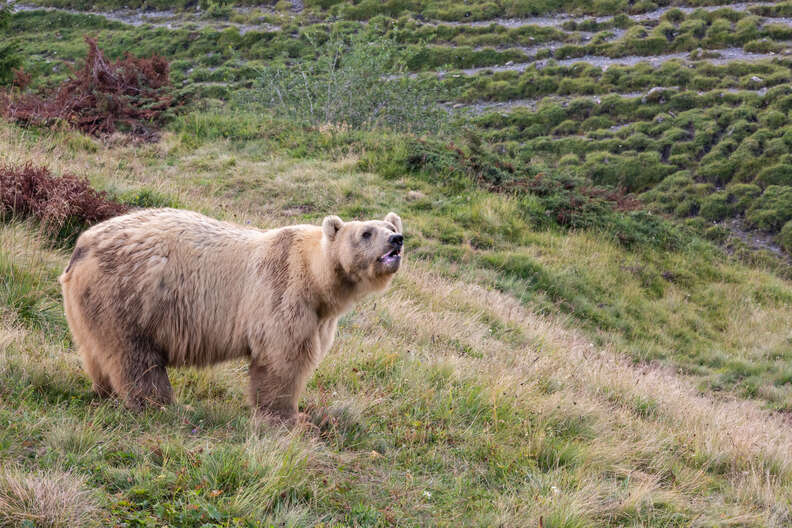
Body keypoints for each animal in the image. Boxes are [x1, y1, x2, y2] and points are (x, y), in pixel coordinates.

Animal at [58, 208, 402, 422]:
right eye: (367, 232)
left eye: (392, 227)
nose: (396, 241)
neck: (317, 279)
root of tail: (80, 248)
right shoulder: (282, 292)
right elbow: (283, 359)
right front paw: (290, 417)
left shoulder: (321, 317)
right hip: (131, 297)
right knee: (136, 359)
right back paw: (166, 406)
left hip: (90, 306)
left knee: (96, 351)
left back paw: (104, 391)